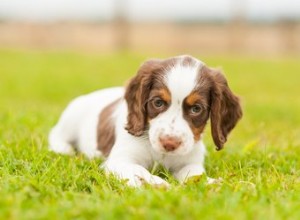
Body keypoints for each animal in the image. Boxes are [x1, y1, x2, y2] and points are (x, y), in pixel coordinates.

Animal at [48, 54, 241, 186]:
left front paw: (211, 183)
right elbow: (137, 169)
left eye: (196, 109)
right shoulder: (119, 160)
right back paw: (64, 149)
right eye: (158, 102)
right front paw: (154, 183)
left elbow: (194, 174)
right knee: (55, 134)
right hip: (71, 118)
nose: (169, 143)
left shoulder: (189, 161)